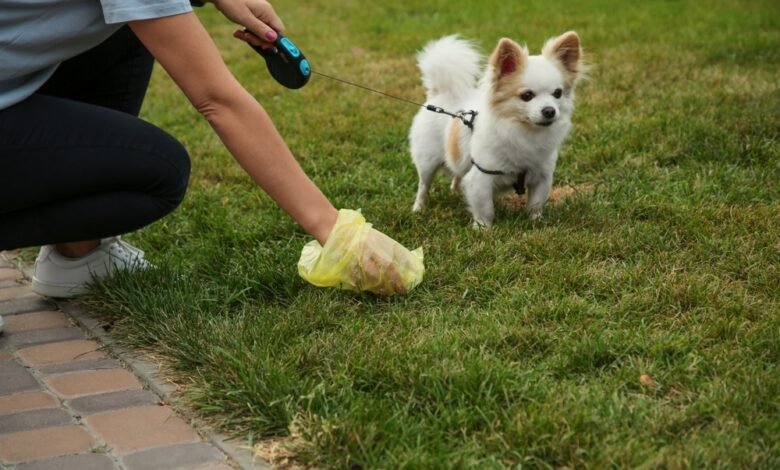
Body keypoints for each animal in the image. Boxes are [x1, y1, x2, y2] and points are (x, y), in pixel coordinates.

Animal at [412, 32, 580, 227]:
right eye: (527, 95)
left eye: (558, 93)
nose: (549, 111)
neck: (524, 132)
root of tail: (439, 93)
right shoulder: (481, 177)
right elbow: (485, 208)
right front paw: (483, 228)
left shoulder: (542, 177)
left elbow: (536, 203)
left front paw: (535, 222)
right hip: (427, 162)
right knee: (424, 186)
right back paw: (419, 208)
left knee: (457, 175)